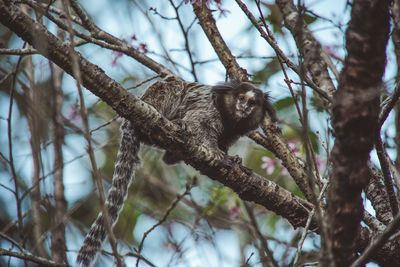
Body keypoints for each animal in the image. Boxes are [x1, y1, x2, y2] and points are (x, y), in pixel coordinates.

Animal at [76, 77, 276, 266]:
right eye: (241, 98)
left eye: (252, 102)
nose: (244, 106)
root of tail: (127, 125)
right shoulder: (208, 110)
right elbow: (197, 123)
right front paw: (214, 151)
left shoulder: (233, 132)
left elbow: (225, 143)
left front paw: (232, 158)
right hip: (152, 101)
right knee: (174, 86)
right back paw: (174, 122)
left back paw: (172, 154)